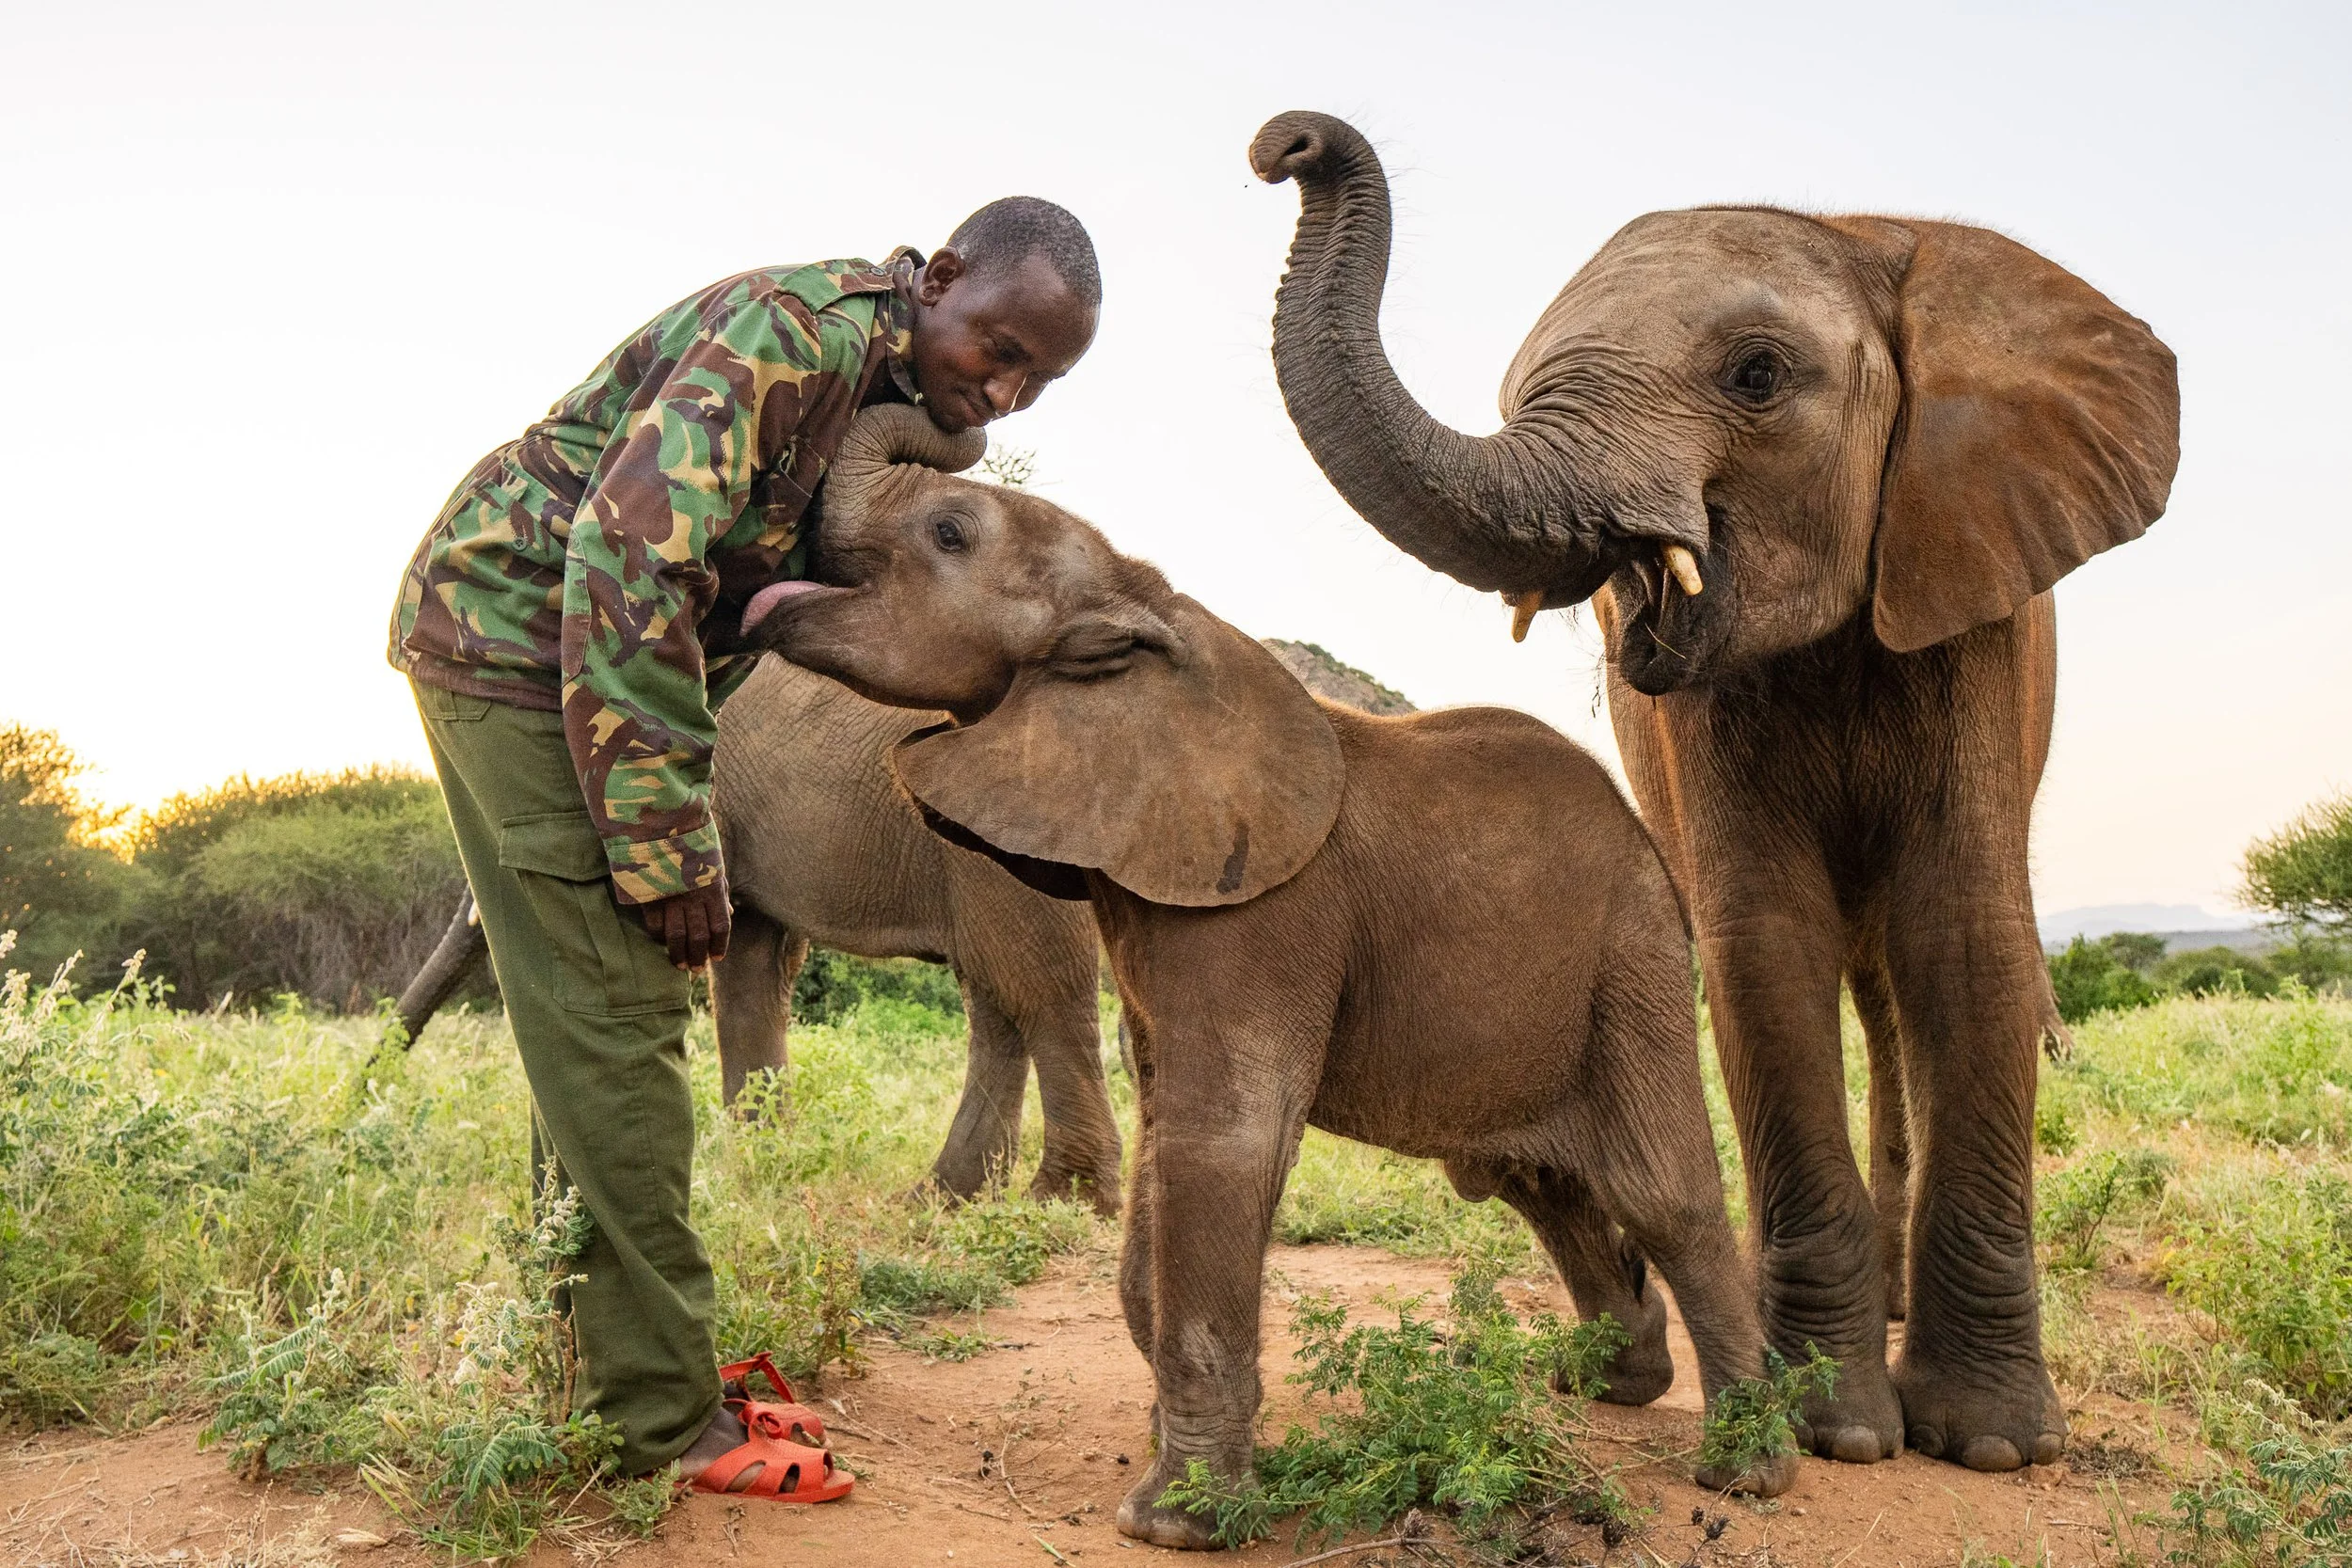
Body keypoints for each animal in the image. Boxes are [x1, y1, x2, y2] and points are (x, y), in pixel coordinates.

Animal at [743, 403, 1800, 1547]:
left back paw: (1746, 1472)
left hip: (1635, 958)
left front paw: (1175, 1524)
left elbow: (1224, 1139)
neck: (1148, 598)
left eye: (948, 532)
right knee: (1531, 1178)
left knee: (1660, 1189)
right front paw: (1174, 1454)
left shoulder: (1264, 911)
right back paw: (1609, 1379)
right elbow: (1167, 1139)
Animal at [1249, 110, 2180, 1473]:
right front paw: (1838, 1426)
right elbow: (1764, 945)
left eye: (1755, 376)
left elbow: (1966, 935)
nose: (1289, 145)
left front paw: (1994, 1444)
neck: (1863, 241)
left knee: (1893, 983)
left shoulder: (1977, 598)